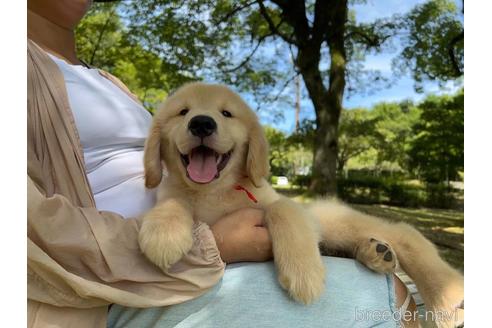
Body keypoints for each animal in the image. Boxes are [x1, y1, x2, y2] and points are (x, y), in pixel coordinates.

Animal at [140, 82, 464, 322]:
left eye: (226, 113)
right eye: (182, 112)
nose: (202, 124)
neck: (213, 191)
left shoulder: (277, 202)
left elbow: (282, 209)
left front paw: (303, 273)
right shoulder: (173, 192)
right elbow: (173, 202)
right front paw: (163, 234)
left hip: (335, 222)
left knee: (405, 233)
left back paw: (446, 298)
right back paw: (376, 253)